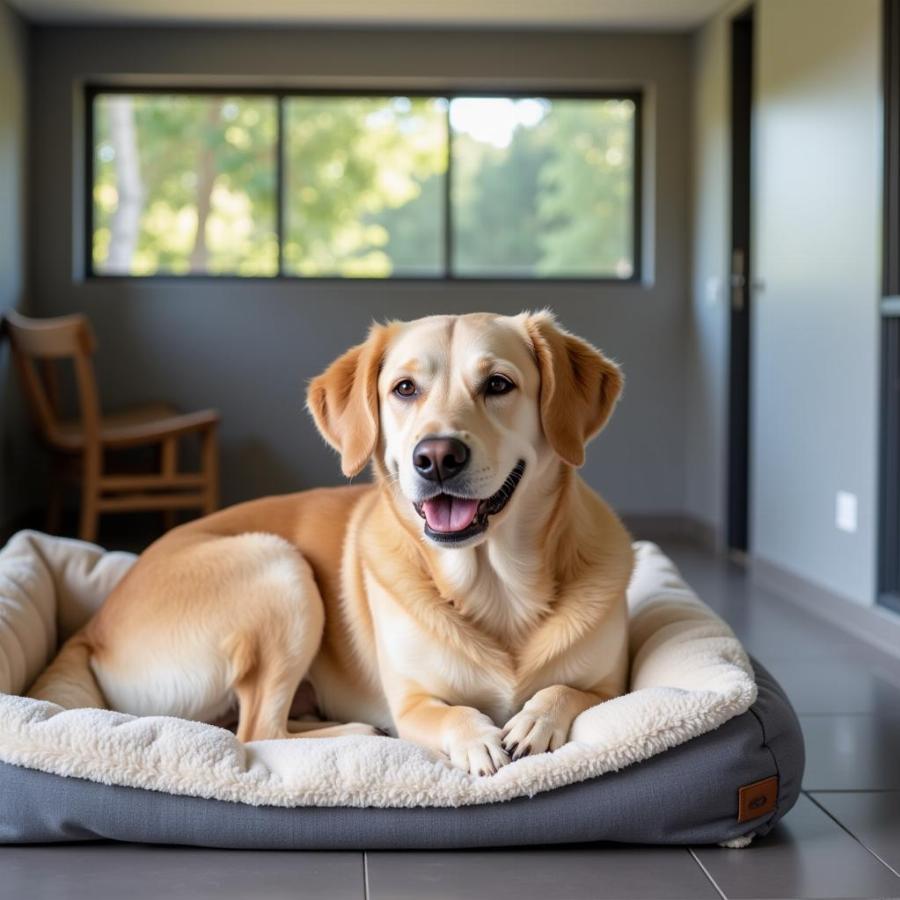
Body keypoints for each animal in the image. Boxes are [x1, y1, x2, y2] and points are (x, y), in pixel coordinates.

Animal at [28, 312, 632, 772]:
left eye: (499, 385)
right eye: (405, 389)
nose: (436, 456)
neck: (496, 585)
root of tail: (92, 629)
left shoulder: (613, 684)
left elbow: (570, 691)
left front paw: (534, 718)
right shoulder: (412, 702)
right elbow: (452, 713)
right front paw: (478, 737)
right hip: (278, 569)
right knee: (256, 731)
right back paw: (358, 731)